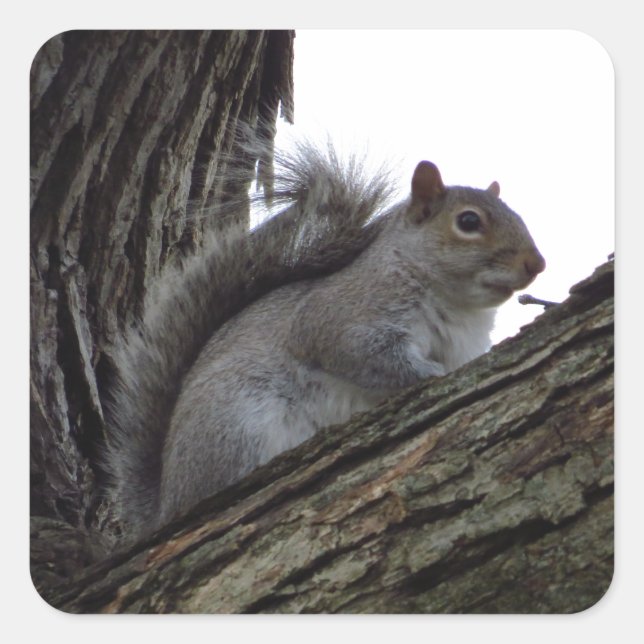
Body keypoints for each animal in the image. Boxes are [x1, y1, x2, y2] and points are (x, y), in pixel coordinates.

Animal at [103, 140, 545, 543]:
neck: (458, 307)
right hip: (237, 420)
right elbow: (361, 355)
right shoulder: (342, 317)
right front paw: (427, 374)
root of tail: (168, 503)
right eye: (468, 222)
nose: (537, 264)